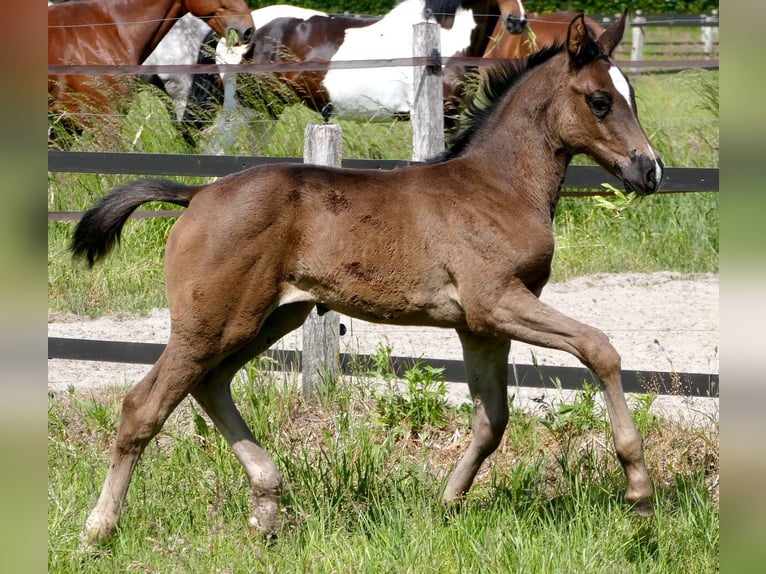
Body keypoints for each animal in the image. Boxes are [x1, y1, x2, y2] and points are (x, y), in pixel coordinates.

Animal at [72, 11, 664, 548]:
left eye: (631, 94)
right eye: (600, 100)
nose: (650, 170)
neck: (499, 187)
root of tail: (196, 195)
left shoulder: (479, 326)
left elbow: (492, 419)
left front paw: (447, 501)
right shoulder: (497, 302)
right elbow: (599, 348)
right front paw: (638, 491)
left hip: (267, 318)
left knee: (210, 385)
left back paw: (266, 506)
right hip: (211, 321)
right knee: (144, 406)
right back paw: (99, 527)